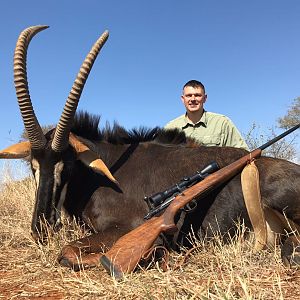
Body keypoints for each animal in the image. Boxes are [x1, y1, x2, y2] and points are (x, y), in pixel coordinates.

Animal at [0, 25, 300, 270]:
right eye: (34, 166)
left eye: (68, 165)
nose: (40, 228)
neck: (103, 174)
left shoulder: (123, 227)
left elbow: (67, 252)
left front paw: (150, 251)